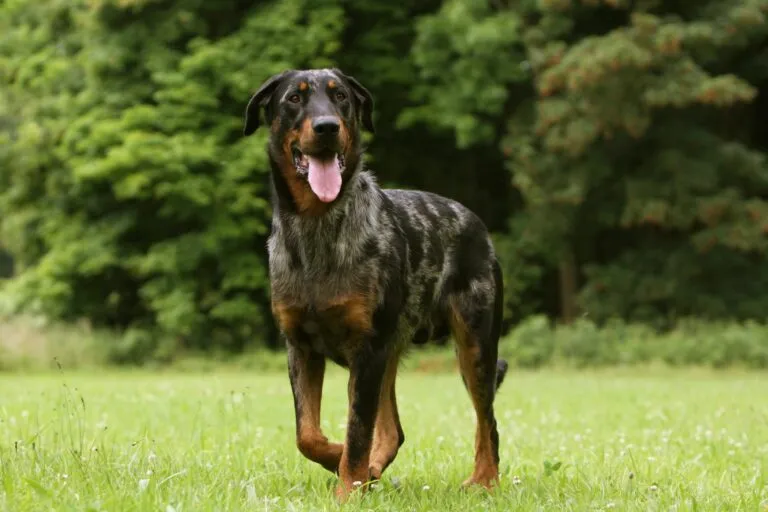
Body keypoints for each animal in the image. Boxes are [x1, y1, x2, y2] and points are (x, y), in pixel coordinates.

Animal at [243, 68, 508, 500]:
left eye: (341, 98)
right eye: (294, 99)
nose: (327, 126)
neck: (317, 226)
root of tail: (478, 225)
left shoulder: (367, 349)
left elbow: (357, 429)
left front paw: (348, 486)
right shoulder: (300, 345)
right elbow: (307, 434)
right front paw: (343, 463)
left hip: (474, 342)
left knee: (488, 421)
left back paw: (484, 480)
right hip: (392, 351)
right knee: (393, 430)